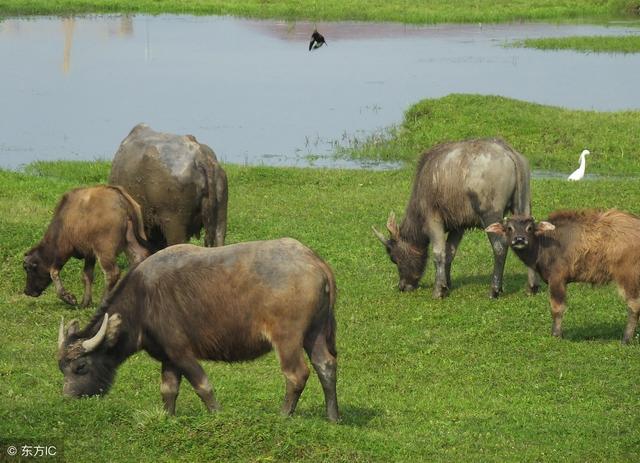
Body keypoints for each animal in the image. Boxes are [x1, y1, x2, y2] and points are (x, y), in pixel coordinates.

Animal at [23, 185, 151, 308]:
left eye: (28, 269)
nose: (27, 291)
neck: (63, 221)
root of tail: (118, 195)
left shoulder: (64, 249)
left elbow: (53, 272)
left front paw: (69, 298)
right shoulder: (90, 254)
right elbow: (87, 275)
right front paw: (85, 302)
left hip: (104, 251)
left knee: (112, 273)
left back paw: (103, 301)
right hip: (130, 242)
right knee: (139, 259)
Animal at [56, 239, 340, 424]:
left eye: (80, 366)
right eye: (62, 368)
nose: (68, 398)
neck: (143, 301)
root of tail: (315, 262)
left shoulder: (182, 352)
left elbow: (203, 386)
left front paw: (217, 415)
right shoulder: (168, 358)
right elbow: (168, 390)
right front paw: (168, 418)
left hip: (287, 338)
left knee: (296, 374)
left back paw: (283, 415)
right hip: (314, 333)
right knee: (325, 365)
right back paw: (333, 416)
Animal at [372, 138, 536, 300]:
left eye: (394, 258)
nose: (403, 286)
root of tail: (509, 153)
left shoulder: (433, 220)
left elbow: (439, 253)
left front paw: (438, 290)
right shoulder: (459, 226)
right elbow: (450, 252)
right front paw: (447, 285)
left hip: (490, 214)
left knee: (500, 247)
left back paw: (494, 290)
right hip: (523, 207)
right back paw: (531, 287)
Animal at [484, 210, 640, 344]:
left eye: (529, 228)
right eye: (509, 228)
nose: (519, 239)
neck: (544, 244)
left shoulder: (557, 279)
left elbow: (557, 308)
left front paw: (556, 334)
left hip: (628, 276)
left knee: (634, 305)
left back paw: (626, 339)